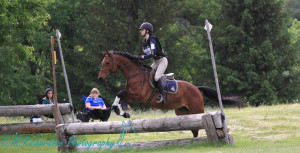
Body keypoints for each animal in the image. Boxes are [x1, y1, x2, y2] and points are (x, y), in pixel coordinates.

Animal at [98, 50, 244, 137]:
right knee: (193, 127)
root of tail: (196, 88)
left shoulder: (139, 96)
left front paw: (121, 111)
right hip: (181, 111)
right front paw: (122, 112)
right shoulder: (130, 95)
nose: (100, 78)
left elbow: (120, 93)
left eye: (107, 62)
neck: (135, 75)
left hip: (197, 108)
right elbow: (119, 97)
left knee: (200, 121)